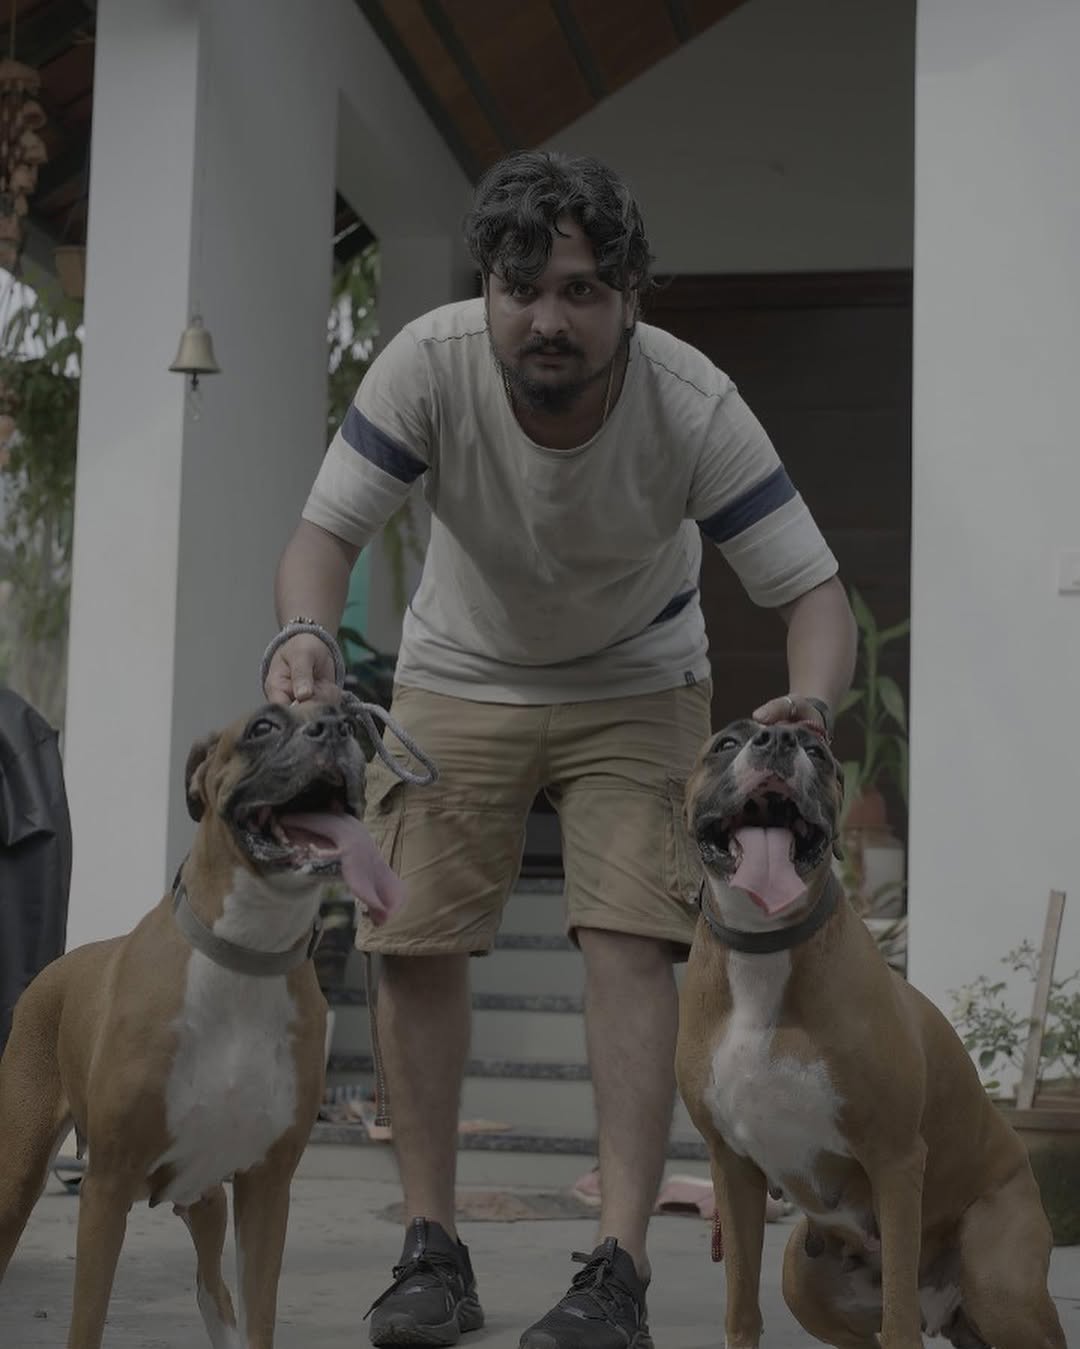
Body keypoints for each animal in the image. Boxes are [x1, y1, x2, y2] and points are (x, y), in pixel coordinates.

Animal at [0, 699, 405, 1349]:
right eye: (262, 727)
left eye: (344, 712)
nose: (337, 729)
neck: (246, 951)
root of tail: (52, 970)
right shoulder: (106, 1188)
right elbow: (87, 1321)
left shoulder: (266, 1188)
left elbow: (258, 1315)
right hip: (17, 1178)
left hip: (207, 1196)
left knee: (212, 1289)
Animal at [675, 718, 1065, 1349]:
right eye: (726, 744)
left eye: (817, 751)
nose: (778, 741)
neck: (765, 948)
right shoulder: (731, 1168)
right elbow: (740, 1309)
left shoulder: (895, 1159)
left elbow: (899, 1320)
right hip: (801, 1272)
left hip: (1002, 1279)